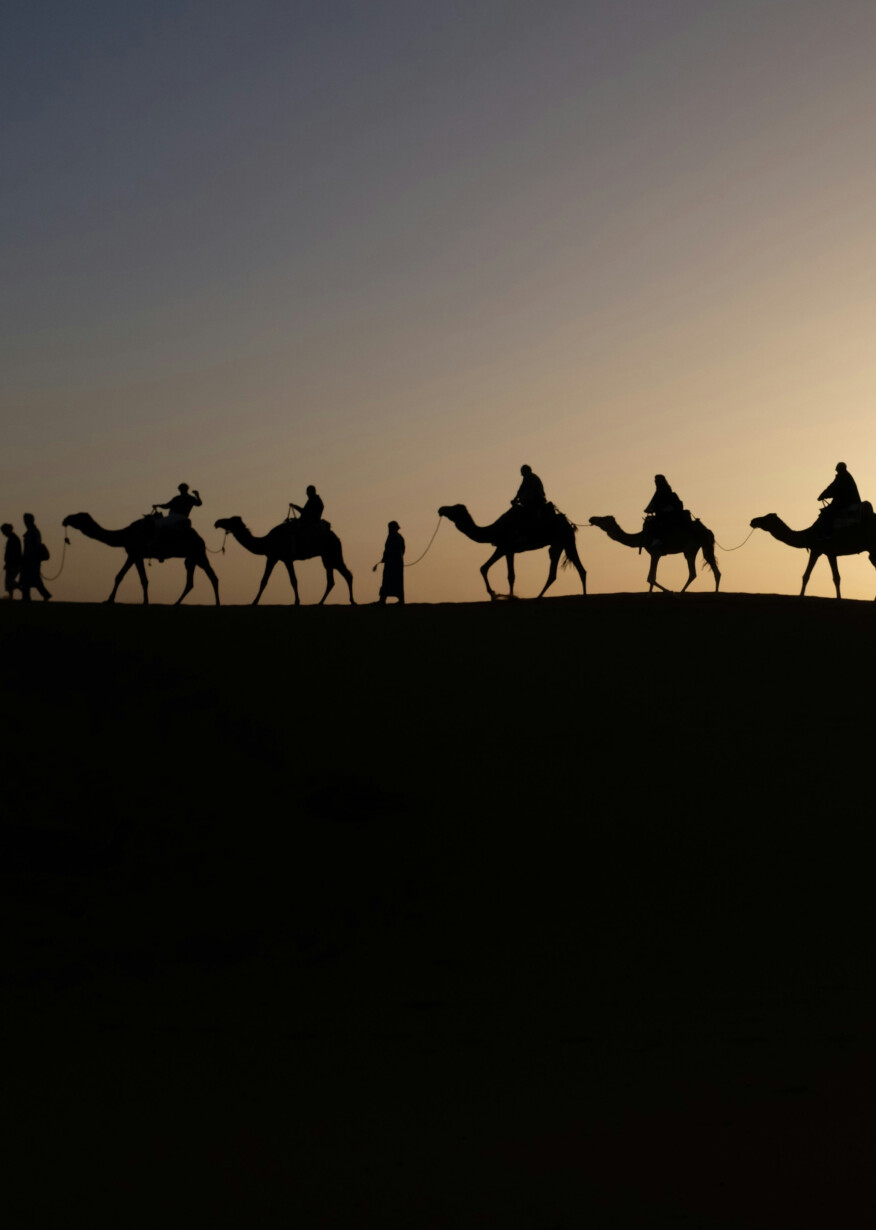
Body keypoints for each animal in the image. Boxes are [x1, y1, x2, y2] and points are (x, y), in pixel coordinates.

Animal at [63, 509, 220, 605]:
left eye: (78, 516)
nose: (66, 519)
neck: (124, 535)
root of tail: (201, 539)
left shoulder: (135, 554)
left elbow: (141, 579)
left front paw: (144, 602)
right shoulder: (134, 555)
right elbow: (120, 576)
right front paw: (109, 599)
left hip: (198, 553)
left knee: (212, 577)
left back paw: (217, 604)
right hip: (192, 558)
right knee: (192, 581)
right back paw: (176, 603)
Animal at [214, 514, 354, 605]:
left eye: (230, 521)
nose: (217, 523)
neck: (265, 542)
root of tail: (336, 537)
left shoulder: (283, 558)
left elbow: (292, 580)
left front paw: (296, 602)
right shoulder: (274, 557)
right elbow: (264, 580)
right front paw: (254, 601)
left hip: (333, 553)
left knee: (346, 575)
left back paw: (350, 601)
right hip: (327, 557)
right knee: (334, 579)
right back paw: (320, 602)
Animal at [435, 499, 585, 595]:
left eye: (454, 508)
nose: (441, 509)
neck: (494, 530)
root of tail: (569, 523)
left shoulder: (506, 548)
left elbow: (510, 575)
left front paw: (507, 596)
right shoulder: (504, 549)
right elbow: (484, 568)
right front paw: (493, 593)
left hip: (564, 540)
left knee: (570, 569)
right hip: (562, 543)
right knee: (571, 570)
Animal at [588, 511, 718, 592]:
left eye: (603, 519)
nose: (591, 518)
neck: (642, 537)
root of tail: (706, 530)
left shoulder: (655, 552)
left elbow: (650, 578)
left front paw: (669, 592)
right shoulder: (655, 554)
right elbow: (651, 578)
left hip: (689, 548)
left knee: (693, 573)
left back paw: (680, 594)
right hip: (703, 547)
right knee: (714, 568)